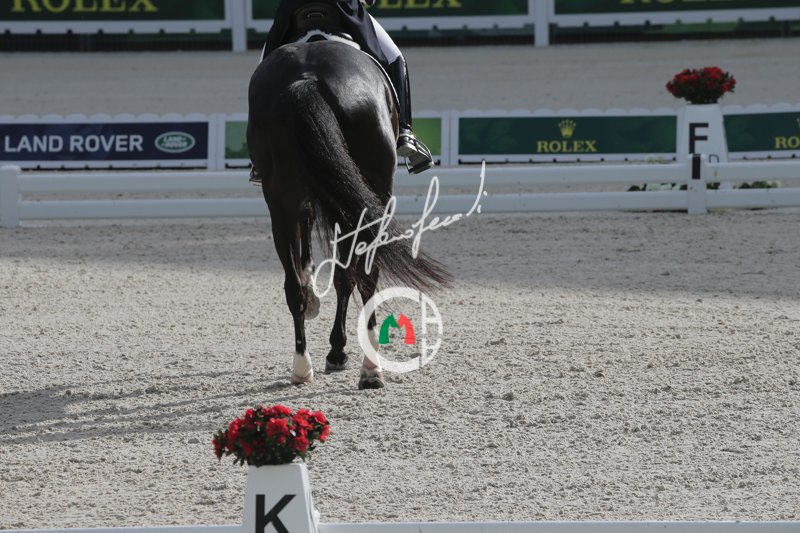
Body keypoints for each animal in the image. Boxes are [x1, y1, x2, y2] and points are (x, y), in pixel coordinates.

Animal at [247, 39, 450, 390]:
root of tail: (306, 80)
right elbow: (346, 275)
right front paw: (338, 350)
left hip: (283, 200)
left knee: (294, 285)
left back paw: (302, 367)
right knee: (366, 275)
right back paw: (369, 368)